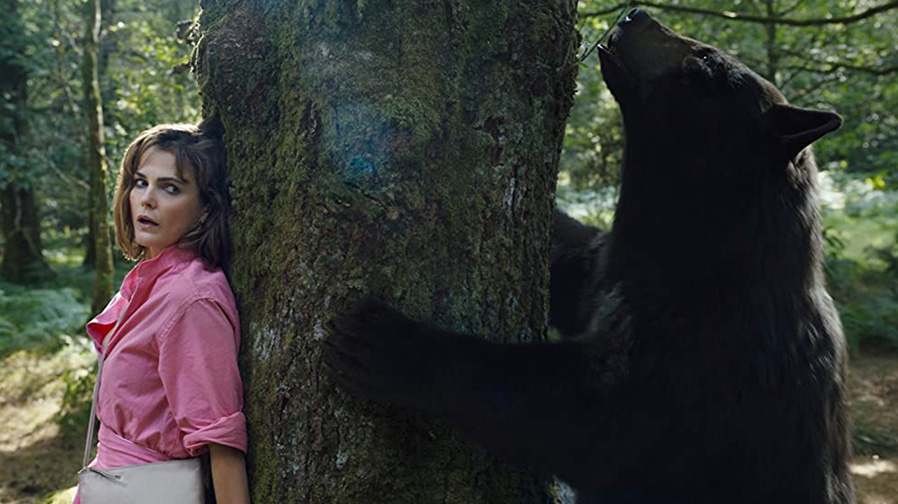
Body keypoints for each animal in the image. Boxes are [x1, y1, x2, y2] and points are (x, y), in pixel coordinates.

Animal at [324, 9, 853, 504]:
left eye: (707, 64)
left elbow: (589, 420)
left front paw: (390, 343)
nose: (635, 14)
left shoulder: (707, 358)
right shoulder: (611, 268)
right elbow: (572, 264)